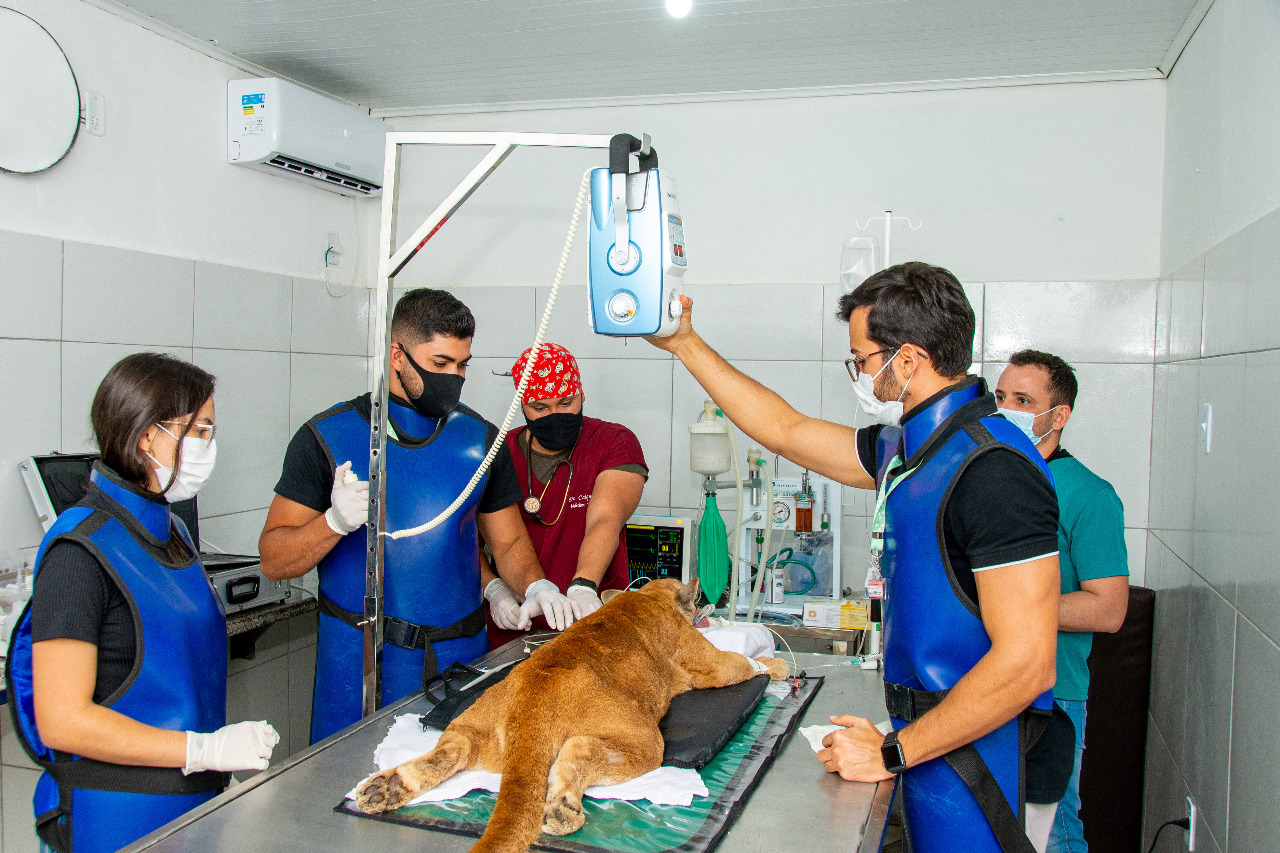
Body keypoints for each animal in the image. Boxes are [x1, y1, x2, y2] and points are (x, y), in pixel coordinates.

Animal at [353, 573, 788, 850]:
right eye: (695, 602)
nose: (708, 603)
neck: (647, 597)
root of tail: (532, 699)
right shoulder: (710, 662)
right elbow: (744, 663)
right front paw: (778, 666)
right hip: (644, 741)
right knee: (580, 752)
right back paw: (562, 809)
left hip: (470, 723)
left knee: (453, 750)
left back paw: (389, 786)